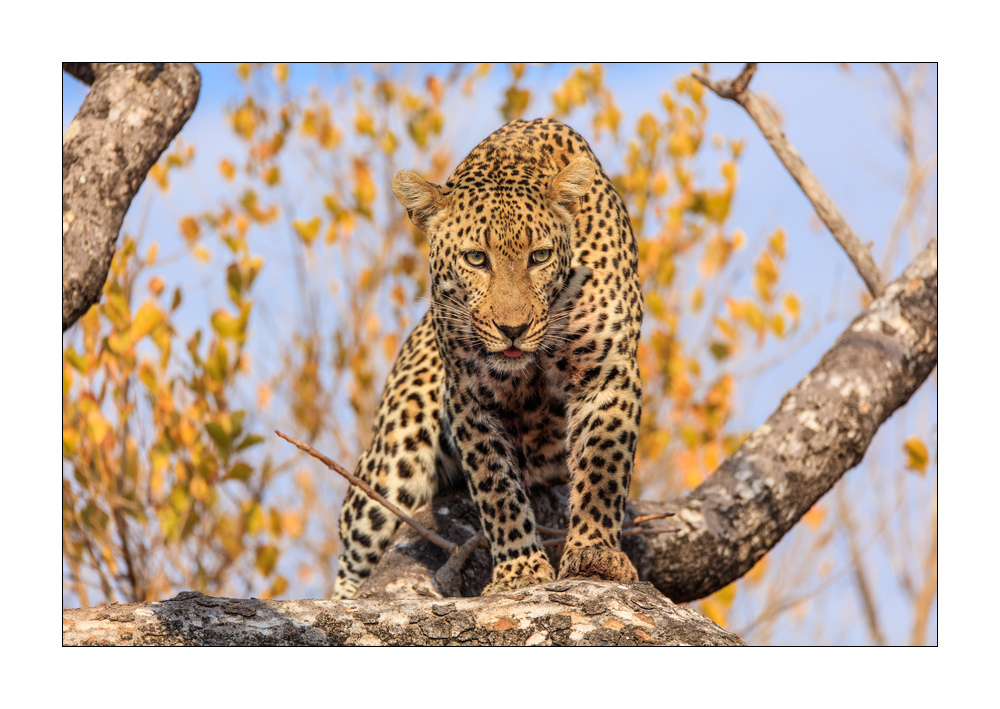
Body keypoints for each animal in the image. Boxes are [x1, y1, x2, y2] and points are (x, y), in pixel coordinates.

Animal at [333, 118, 643, 599]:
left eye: (540, 256)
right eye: (477, 259)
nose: (512, 329)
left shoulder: (606, 376)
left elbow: (602, 469)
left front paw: (596, 554)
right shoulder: (469, 395)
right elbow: (497, 488)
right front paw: (520, 569)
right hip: (391, 462)